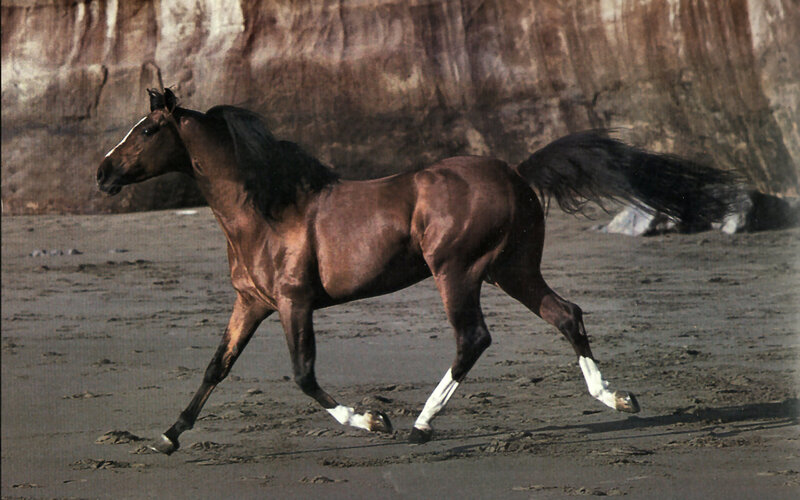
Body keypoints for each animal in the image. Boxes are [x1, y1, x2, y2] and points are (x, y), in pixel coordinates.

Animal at [96, 88, 740, 454]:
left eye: (147, 130)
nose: (102, 174)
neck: (267, 209)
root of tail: (516, 172)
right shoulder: (250, 303)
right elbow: (217, 366)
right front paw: (168, 436)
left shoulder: (293, 302)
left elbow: (303, 375)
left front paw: (372, 419)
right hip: (513, 270)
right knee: (567, 315)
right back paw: (616, 400)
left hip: (457, 271)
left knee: (473, 338)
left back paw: (421, 425)